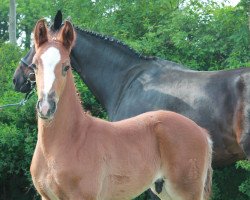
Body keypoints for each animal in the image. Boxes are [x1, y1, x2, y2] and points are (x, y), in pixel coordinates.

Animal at [29, 19, 213, 200]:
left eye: (66, 66)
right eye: (35, 65)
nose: (46, 107)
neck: (70, 138)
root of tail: (202, 132)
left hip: (186, 191)